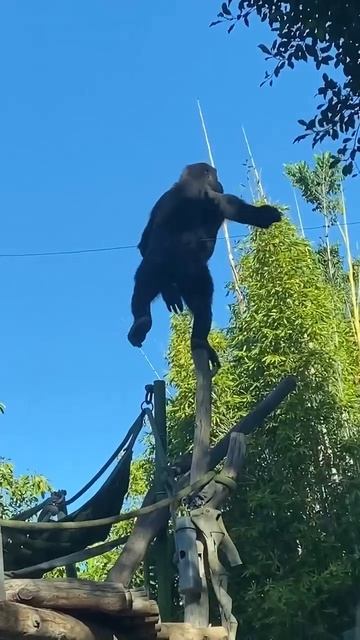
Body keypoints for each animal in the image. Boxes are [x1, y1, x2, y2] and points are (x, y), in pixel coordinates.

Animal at [128, 162, 282, 368]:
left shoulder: (161, 200)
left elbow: (143, 243)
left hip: (154, 267)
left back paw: (141, 322)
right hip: (194, 274)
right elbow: (250, 214)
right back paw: (199, 341)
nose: (220, 182)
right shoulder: (223, 199)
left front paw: (170, 293)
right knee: (203, 308)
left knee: (143, 289)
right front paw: (269, 214)